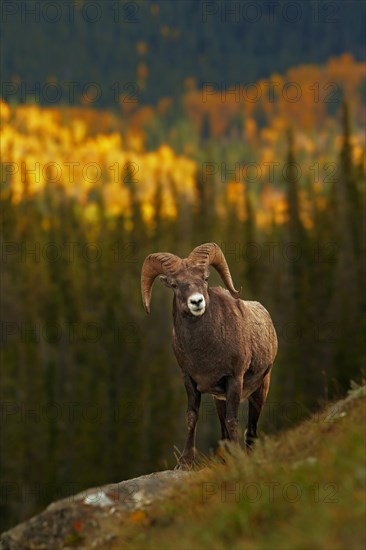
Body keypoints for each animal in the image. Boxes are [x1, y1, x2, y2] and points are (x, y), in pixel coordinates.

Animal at [141, 244, 278, 468]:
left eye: (205, 278)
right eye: (174, 284)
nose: (197, 302)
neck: (204, 353)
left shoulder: (234, 380)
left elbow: (233, 421)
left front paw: (237, 459)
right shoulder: (190, 380)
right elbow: (192, 417)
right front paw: (185, 462)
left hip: (260, 389)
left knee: (250, 429)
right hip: (218, 399)